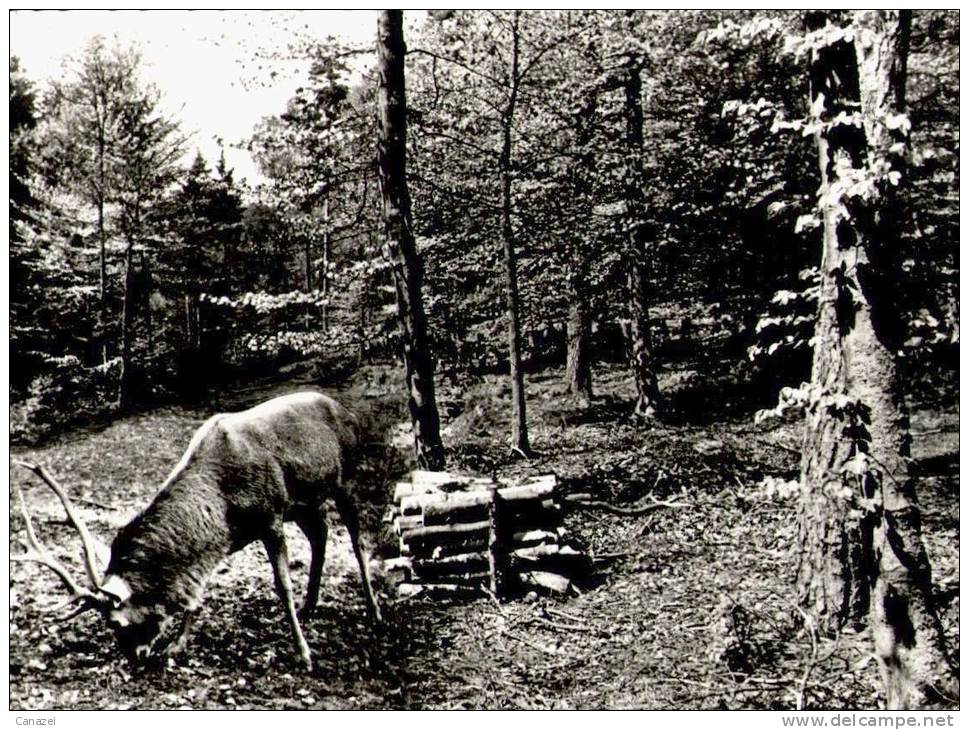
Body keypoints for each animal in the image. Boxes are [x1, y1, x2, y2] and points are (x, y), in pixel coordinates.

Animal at [12, 390, 382, 668]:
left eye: (116, 622)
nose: (134, 656)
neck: (221, 500)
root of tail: (347, 412)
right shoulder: (225, 538)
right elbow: (197, 590)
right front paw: (177, 645)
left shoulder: (271, 517)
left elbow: (282, 585)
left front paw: (304, 654)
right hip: (306, 503)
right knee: (321, 535)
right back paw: (311, 605)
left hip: (346, 479)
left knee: (357, 540)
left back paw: (374, 611)